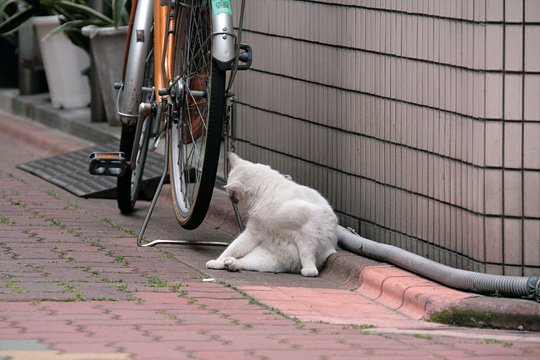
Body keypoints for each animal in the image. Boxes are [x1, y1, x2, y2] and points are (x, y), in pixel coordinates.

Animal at [205, 153, 336, 278]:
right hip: (262, 258)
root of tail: (293, 267)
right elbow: (231, 248)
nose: (231, 199)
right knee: (241, 260)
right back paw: (229, 263)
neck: (266, 194)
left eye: (230, 193)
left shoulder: (308, 227)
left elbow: (306, 253)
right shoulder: (252, 233)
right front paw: (218, 261)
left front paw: (310, 270)